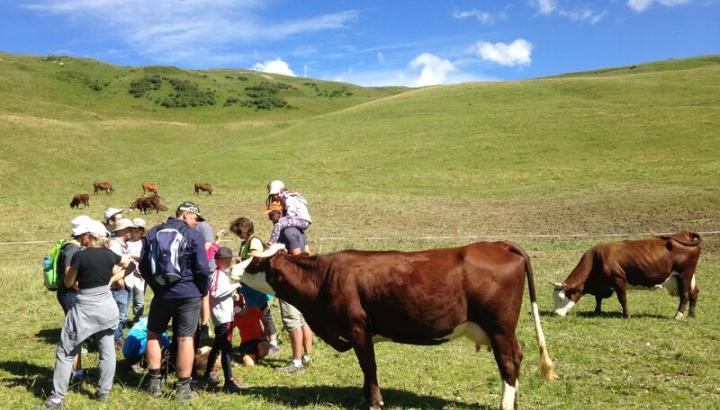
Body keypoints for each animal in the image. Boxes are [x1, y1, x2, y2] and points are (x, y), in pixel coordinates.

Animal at [232, 242, 557, 410]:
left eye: (254, 264)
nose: (233, 268)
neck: (323, 278)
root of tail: (497, 244)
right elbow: (366, 370)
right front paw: (364, 397)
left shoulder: (358, 328)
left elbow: (369, 366)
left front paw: (375, 401)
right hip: (502, 331)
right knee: (516, 358)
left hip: (500, 328)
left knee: (508, 364)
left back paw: (506, 404)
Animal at [552, 232, 702, 320]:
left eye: (562, 298)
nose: (556, 314)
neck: (596, 259)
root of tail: (684, 234)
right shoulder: (602, 286)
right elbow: (598, 298)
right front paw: (597, 311)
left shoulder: (618, 279)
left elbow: (622, 299)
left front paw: (626, 315)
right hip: (685, 277)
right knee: (694, 293)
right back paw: (691, 315)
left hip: (684, 275)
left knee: (685, 295)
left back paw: (678, 315)